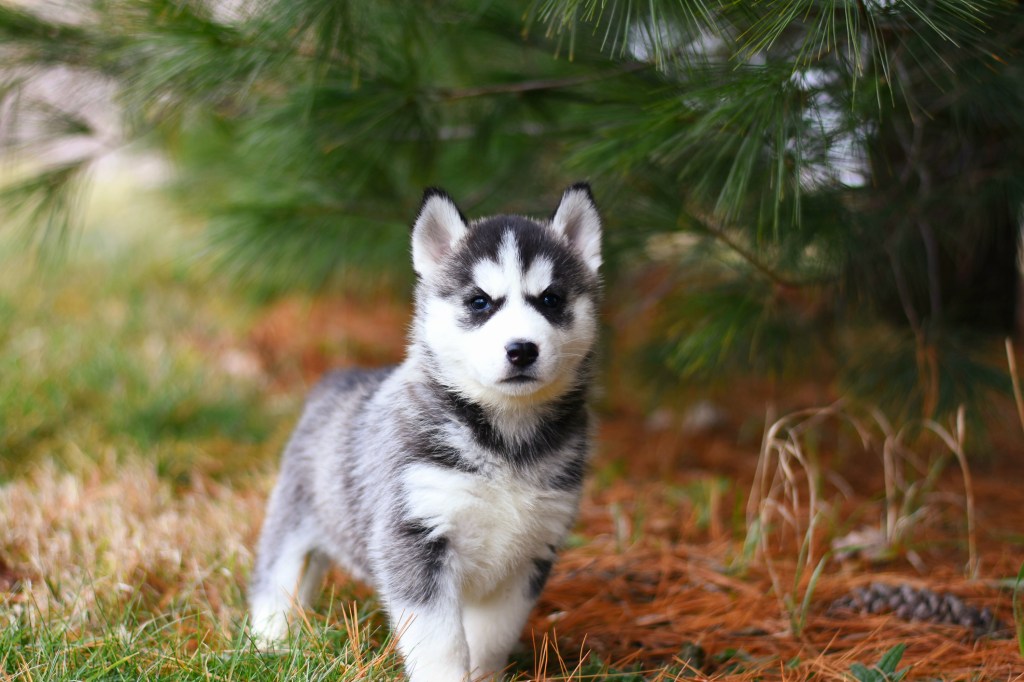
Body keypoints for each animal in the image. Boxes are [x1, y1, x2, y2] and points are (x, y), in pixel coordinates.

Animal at [247, 183, 598, 675]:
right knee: (274, 580)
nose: (522, 349)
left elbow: (491, 637)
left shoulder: (530, 554)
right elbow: (440, 642)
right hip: (292, 520)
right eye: (479, 302)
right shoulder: (414, 539)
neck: (506, 440)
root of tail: (340, 377)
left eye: (550, 299)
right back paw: (271, 643)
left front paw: (483, 675)